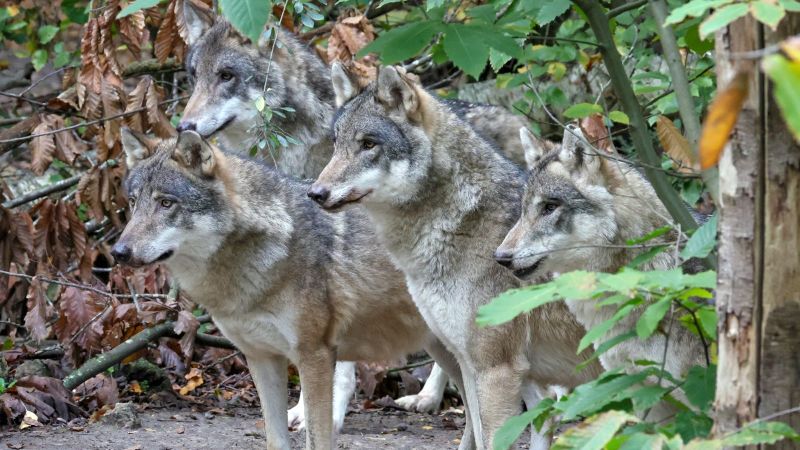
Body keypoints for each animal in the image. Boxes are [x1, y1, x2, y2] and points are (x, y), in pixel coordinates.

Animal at [112, 129, 473, 450]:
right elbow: (275, 438)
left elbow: (318, 438)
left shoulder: (315, 356)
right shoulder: (261, 358)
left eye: (166, 203)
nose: (119, 252)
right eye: (133, 203)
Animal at [308, 63, 602, 449]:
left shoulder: (495, 368)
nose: (316, 192)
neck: (462, 222)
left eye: (368, 144)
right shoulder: (473, 362)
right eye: (336, 143)